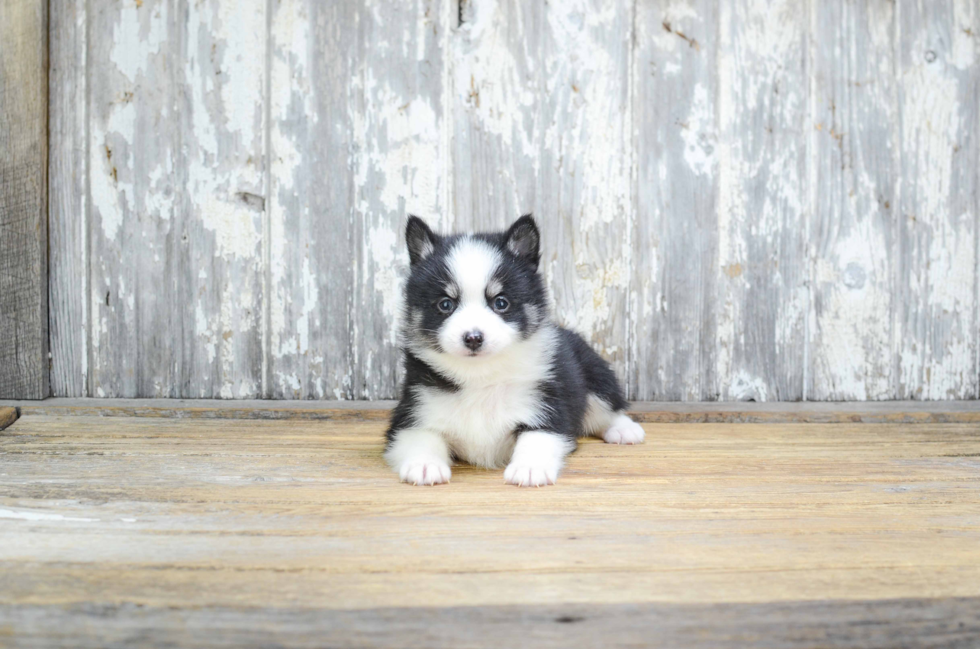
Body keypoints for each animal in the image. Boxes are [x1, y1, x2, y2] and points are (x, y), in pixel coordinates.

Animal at [382, 214, 644, 486]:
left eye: (501, 303)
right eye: (445, 304)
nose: (473, 338)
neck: (480, 376)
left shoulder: (548, 406)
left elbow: (539, 437)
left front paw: (529, 468)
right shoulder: (413, 411)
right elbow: (420, 437)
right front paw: (424, 464)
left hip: (595, 375)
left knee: (607, 408)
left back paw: (624, 429)